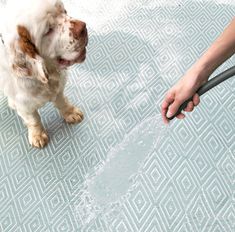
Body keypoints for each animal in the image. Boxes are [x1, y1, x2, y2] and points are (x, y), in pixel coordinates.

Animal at [0, 0, 87, 148]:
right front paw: (38, 135)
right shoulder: (23, 104)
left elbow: (62, 101)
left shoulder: (58, 88)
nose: (83, 28)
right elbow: (33, 119)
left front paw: (71, 113)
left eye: (64, 11)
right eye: (48, 30)